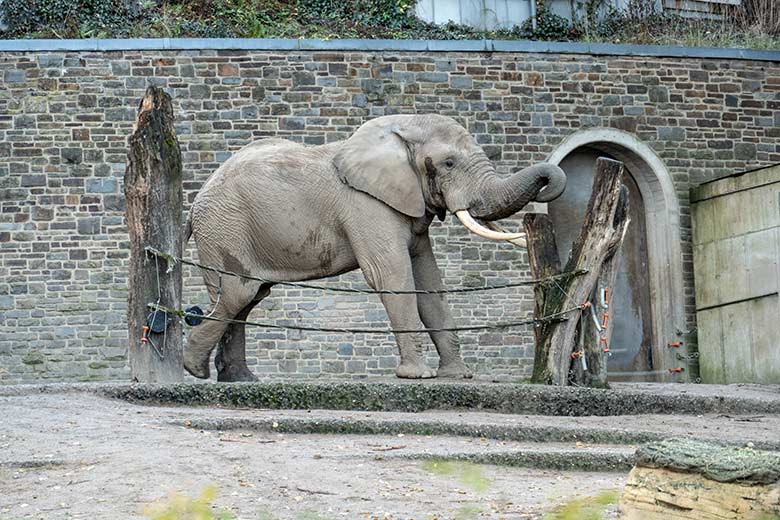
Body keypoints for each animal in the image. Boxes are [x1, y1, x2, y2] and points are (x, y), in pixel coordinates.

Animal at [181, 114, 564, 382]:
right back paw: (195, 370)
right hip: (224, 228)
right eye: (449, 163)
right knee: (237, 293)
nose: (547, 184)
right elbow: (392, 276)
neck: (403, 127)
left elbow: (429, 281)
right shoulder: (365, 205)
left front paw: (458, 376)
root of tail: (198, 197)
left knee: (248, 297)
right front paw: (418, 376)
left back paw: (240, 379)